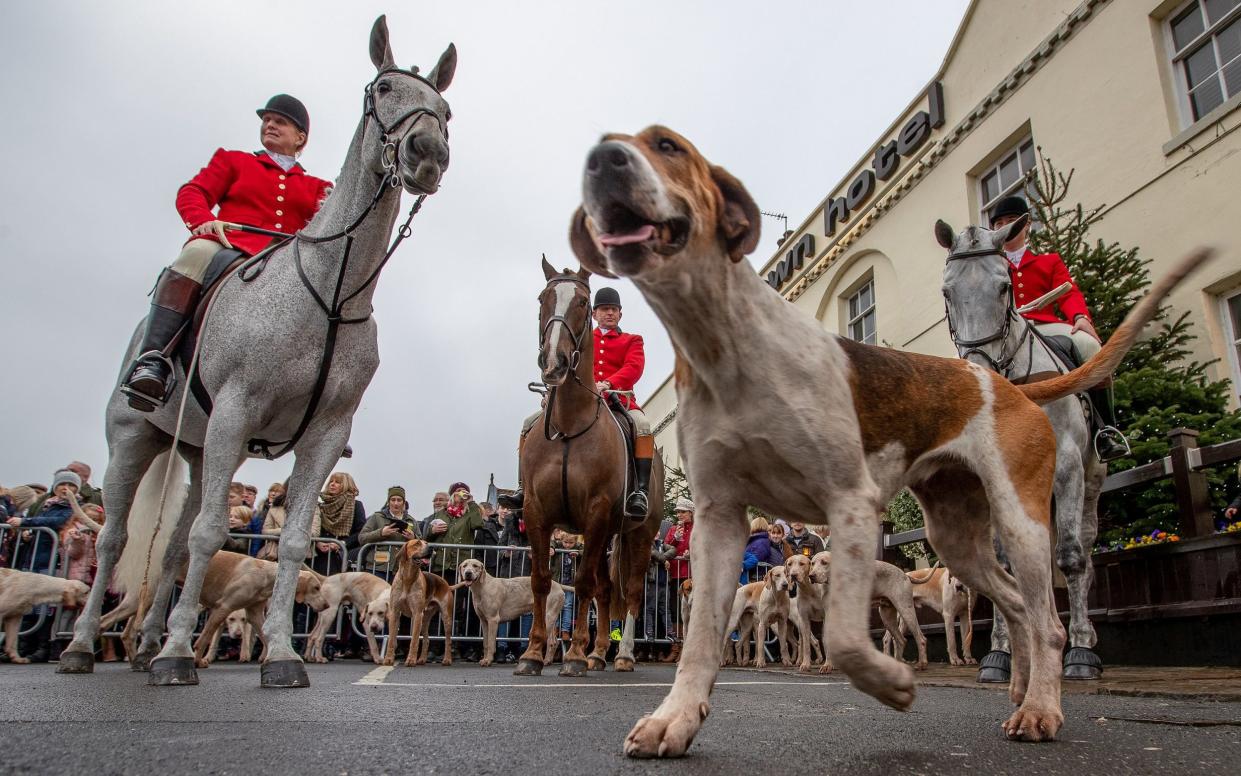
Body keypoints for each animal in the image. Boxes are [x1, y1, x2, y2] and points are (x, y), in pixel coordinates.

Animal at [58, 15, 456, 685]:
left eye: (445, 108)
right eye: (383, 90)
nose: (427, 154)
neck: (329, 292)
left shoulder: (325, 432)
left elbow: (290, 541)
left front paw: (280, 654)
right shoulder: (237, 410)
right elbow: (212, 533)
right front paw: (179, 653)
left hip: (199, 449)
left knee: (171, 543)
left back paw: (143, 646)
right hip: (137, 437)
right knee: (116, 537)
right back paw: (87, 645)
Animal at [513, 258, 665, 670]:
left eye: (583, 301)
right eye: (543, 297)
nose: (554, 362)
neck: (568, 426)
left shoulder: (595, 513)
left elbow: (581, 583)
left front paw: (575, 655)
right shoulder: (536, 512)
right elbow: (541, 580)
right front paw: (533, 653)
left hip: (639, 533)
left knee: (630, 591)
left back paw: (622, 654)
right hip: (608, 535)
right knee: (607, 587)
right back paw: (599, 653)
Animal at [938, 216, 1106, 675]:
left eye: (1004, 286)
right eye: (946, 291)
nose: (976, 373)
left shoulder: (1067, 465)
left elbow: (1071, 556)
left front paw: (1078, 654)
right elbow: (1004, 564)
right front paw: (999, 653)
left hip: (1091, 477)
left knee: (1083, 548)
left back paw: (1083, 640)